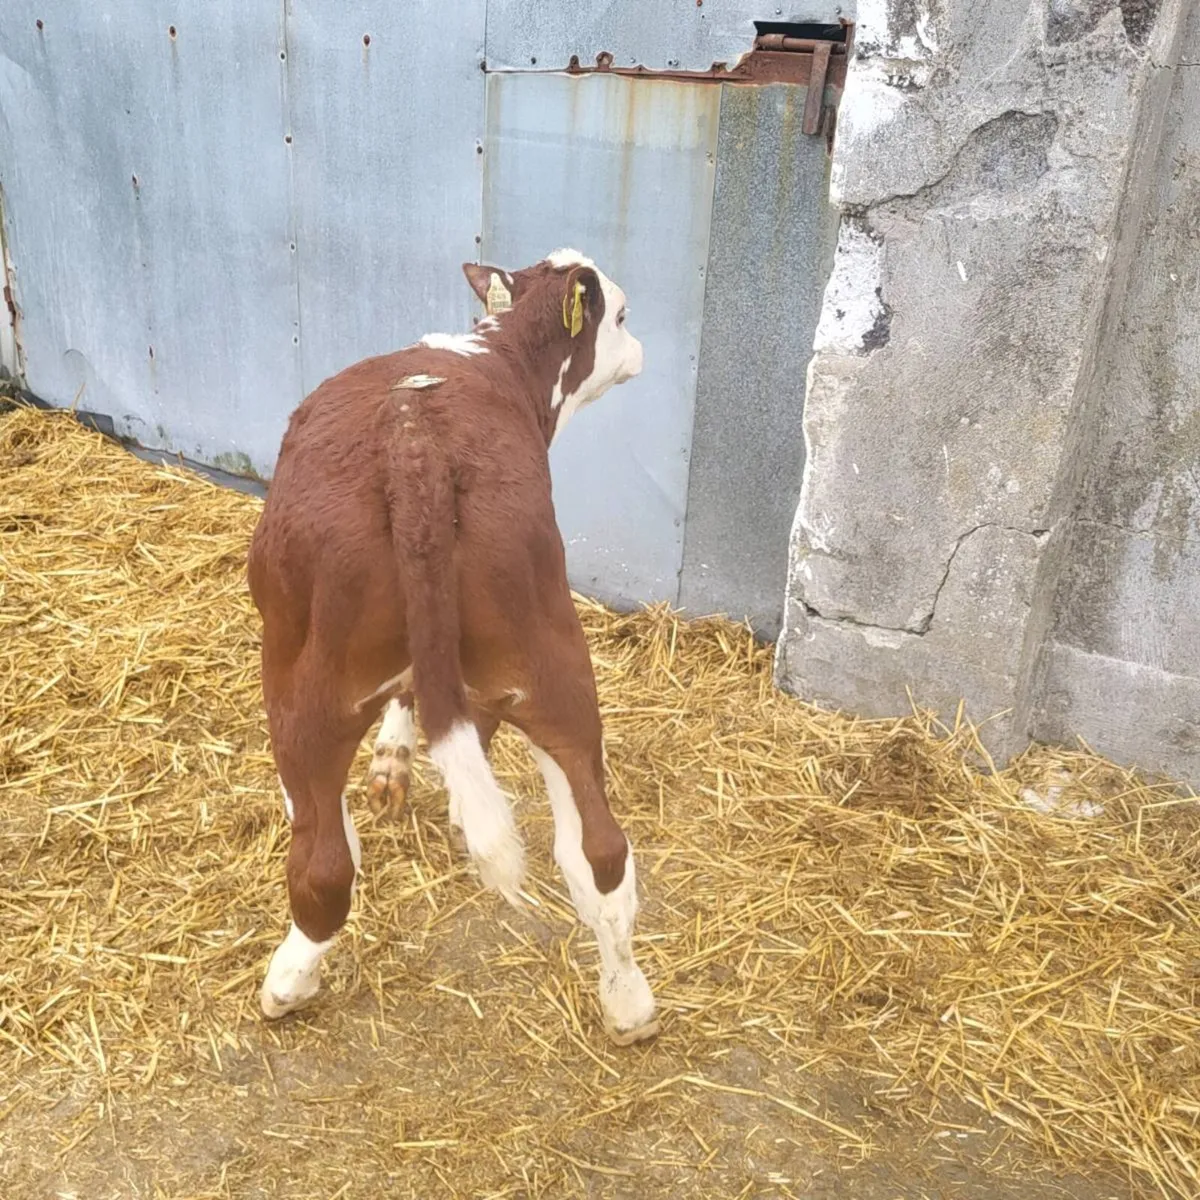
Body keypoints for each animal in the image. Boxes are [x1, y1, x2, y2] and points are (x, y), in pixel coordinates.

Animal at [247, 250, 659, 1046]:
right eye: (622, 316)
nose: (643, 353)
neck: (492, 352)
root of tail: (416, 442)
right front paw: (399, 768)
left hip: (298, 680)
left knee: (323, 861)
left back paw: (288, 979)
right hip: (552, 662)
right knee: (599, 854)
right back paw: (628, 1004)